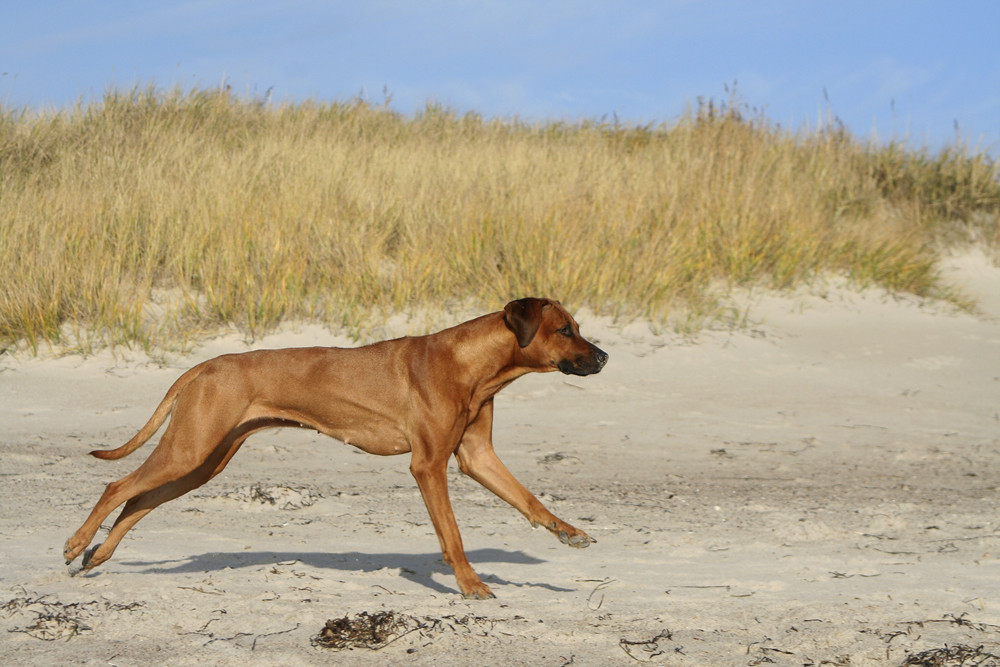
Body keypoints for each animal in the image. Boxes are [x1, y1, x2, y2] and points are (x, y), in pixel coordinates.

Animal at [66, 298, 608, 600]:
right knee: (118, 486)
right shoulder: (428, 465)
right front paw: (470, 584)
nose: (604, 357)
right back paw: (77, 542)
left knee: (138, 500)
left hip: (203, 462)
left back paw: (98, 555)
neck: (473, 363)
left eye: (579, 328)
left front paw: (568, 532)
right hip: (190, 449)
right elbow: (452, 536)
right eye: (565, 330)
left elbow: (529, 500)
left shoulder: (477, 457)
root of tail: (205, 365)